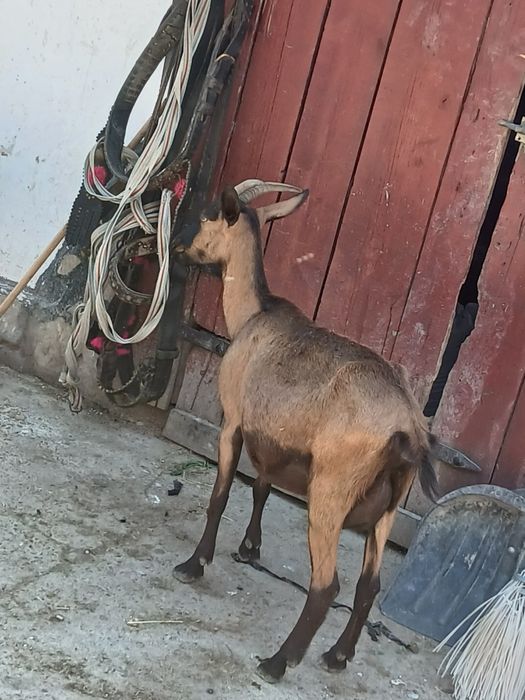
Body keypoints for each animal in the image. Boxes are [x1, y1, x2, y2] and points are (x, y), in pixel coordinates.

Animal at [172, 180, 438, 683]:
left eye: (205, 218)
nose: (178, 249)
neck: (253, 316)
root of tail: (409, 429)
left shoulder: (233, 421)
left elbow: (221, 495)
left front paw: (195, 563)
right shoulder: (275, 439)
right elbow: (261, 485)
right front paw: (250, 547)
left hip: (332, 489)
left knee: (326, 584)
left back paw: (279, 661)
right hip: (390, 506)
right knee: (369, 584)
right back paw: (337, 656)